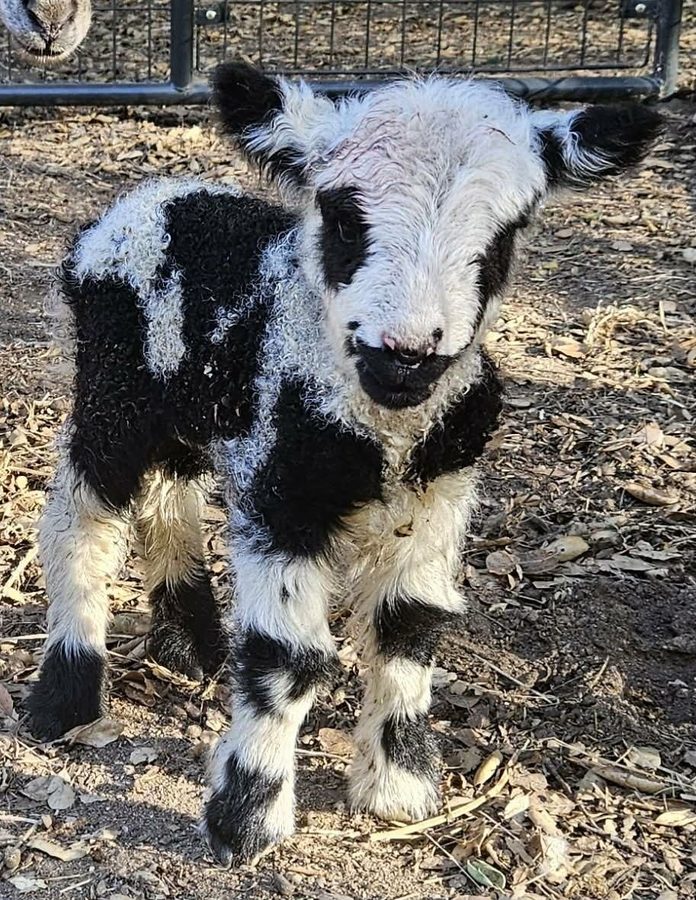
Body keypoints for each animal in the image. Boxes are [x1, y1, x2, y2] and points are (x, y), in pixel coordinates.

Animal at [28, 62, 661, 865]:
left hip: (191, 402)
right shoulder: (287, 497)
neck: (382, 426)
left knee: (171, 492)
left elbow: (411, 627)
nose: (407, 353)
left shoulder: (438, 494)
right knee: (82, 517)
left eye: (505, 234)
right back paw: (67, 695)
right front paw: (246, 820)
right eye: (343, 217)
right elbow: (287, 656)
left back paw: (191, 646)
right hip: (115, 387)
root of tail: (149, 198)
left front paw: (400, 788)